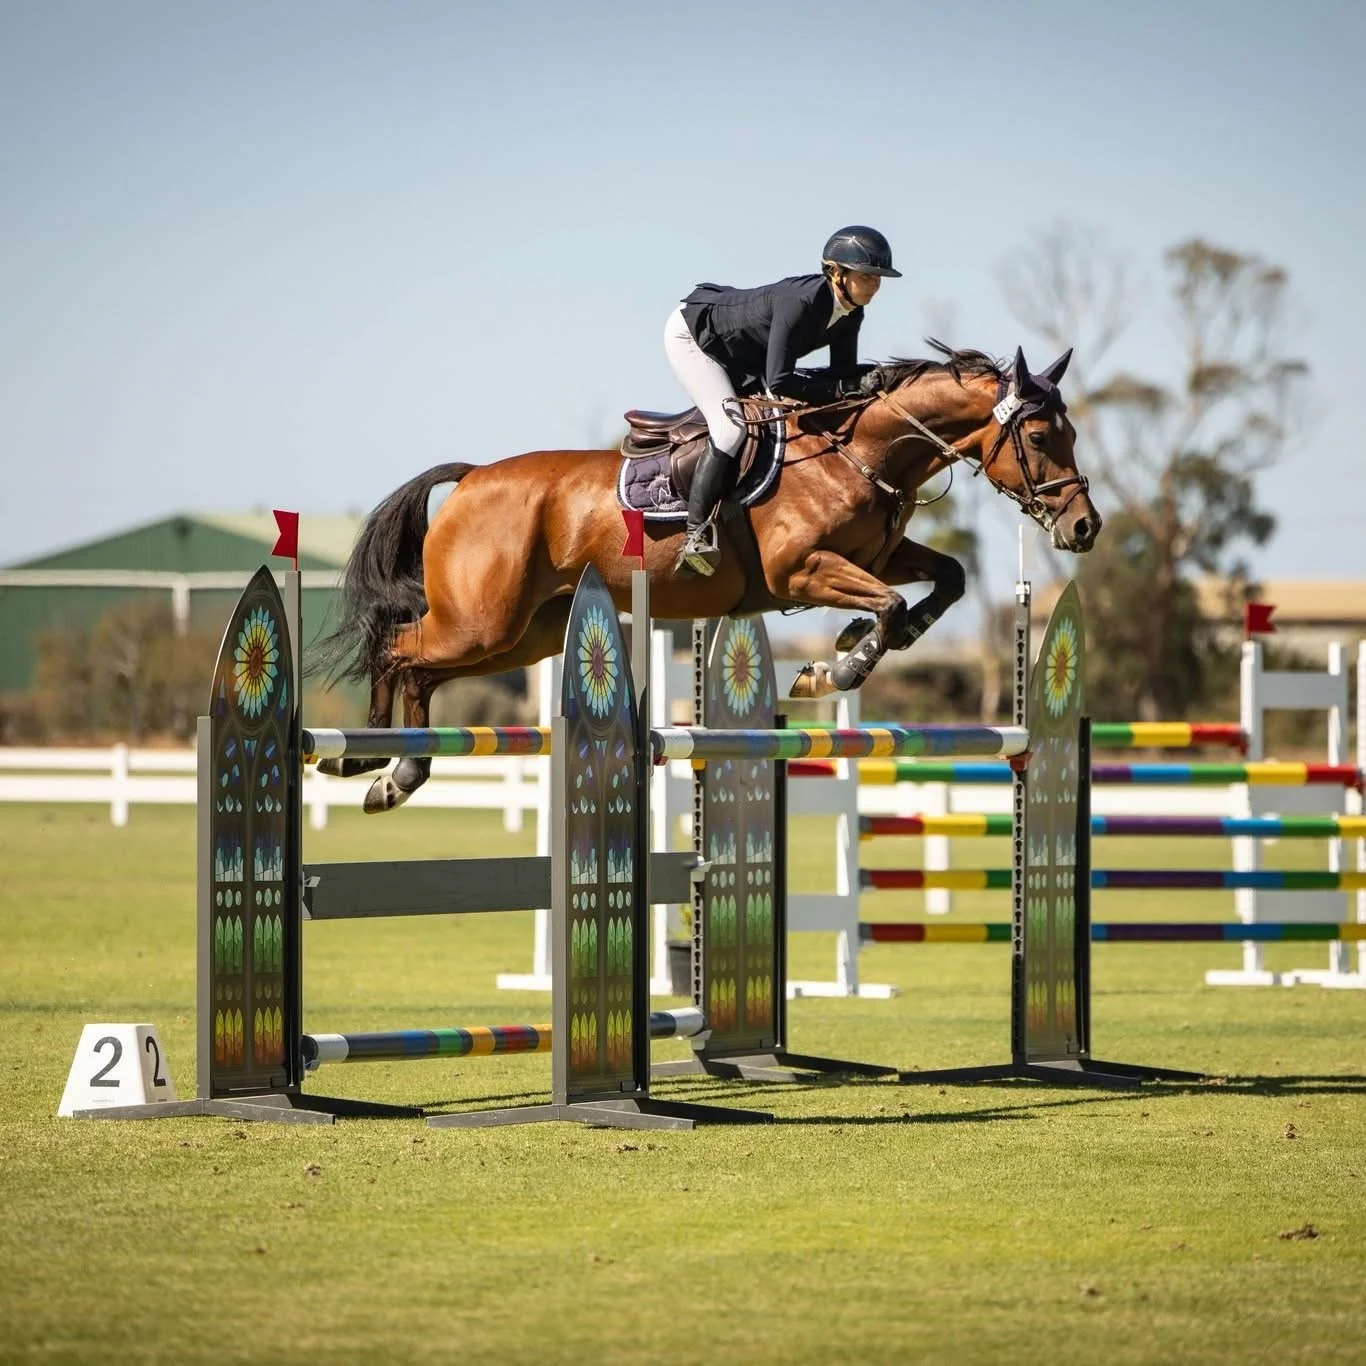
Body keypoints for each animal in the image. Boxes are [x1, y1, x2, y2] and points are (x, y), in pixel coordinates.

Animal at [312, 342, 1099, 812]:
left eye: (1071, 433)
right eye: (1038, 437)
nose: (1085, 528)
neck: (857, 450)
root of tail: (473, 477)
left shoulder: (879, 554)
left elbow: (945, 579)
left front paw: (856, 644)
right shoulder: (801, 572)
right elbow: (887, 605)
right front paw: (833, 671)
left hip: (521, 635)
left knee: (420, 669)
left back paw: (386, 771)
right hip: (481, 623)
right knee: (400, 651)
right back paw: (375, 762)